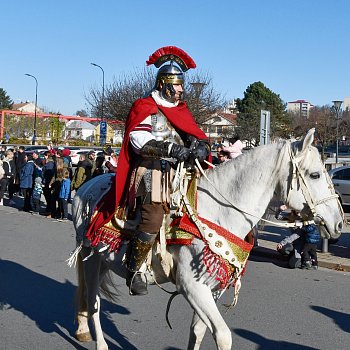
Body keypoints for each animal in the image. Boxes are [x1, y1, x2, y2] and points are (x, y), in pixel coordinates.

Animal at [70, 129, 342, 350]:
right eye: (315, 175)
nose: (339, 223)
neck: (219, 211)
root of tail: (85, 187)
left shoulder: (212, 288)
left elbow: (198, 331)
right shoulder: (192, 286)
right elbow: (222, 335)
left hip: (104, 260)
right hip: (90, 258)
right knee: (93, 302)